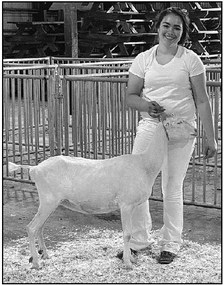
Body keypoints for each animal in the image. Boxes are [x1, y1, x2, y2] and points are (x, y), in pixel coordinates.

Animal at [7, 116, 196, 268]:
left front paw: (131, 259)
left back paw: (45, 255)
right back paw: (36, 263)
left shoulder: (133, 205)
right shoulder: (126, 204)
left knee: (40, 227)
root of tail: (34, 168)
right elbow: (127, 234)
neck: (144, 164)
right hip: (48, 199)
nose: (195, 131)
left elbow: (130, 233)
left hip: (50, 202)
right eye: (178, 122)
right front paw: (128, 263)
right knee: (32, 228)